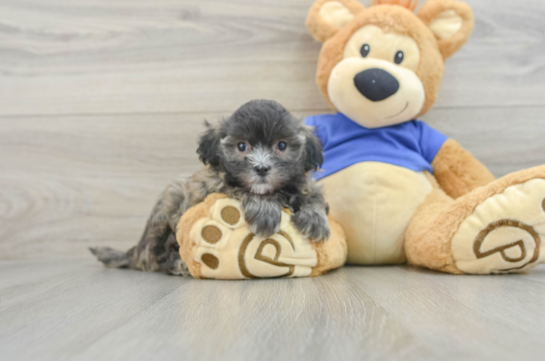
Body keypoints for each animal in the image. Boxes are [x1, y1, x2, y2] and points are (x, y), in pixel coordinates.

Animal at [90, 98, 328, 276]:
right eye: (242, 146)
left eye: (282, 145)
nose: (261, 168)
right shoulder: (213, 187)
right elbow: (239, 188)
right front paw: (265, 209)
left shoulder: (303, 183)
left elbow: (312, 194)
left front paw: (314, 217)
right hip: (170, 202)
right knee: (159, 254)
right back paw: (181, 265)